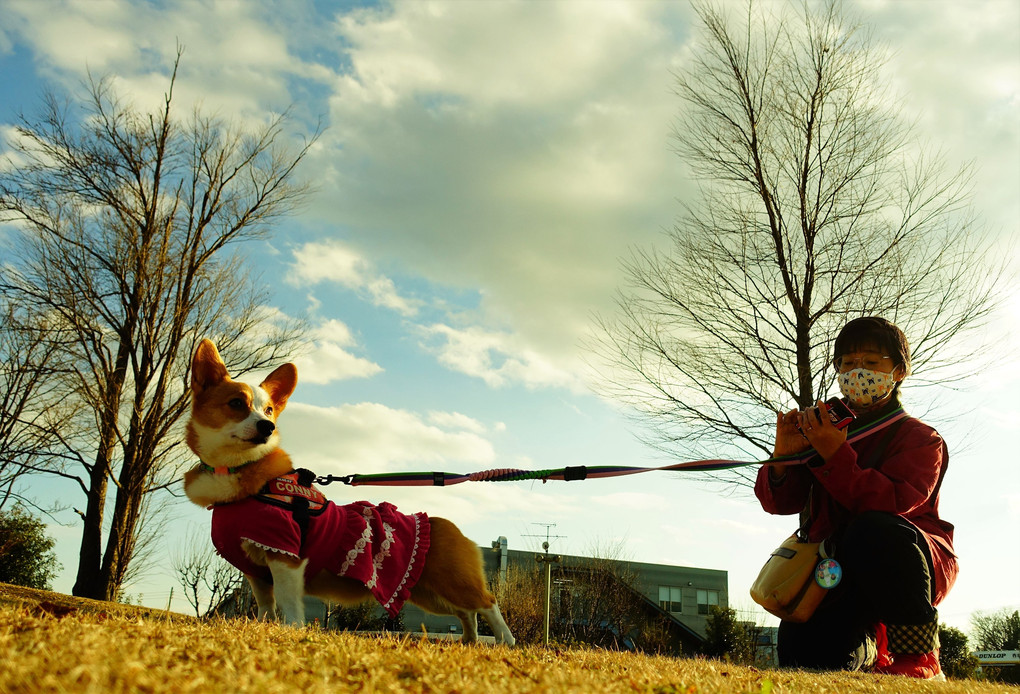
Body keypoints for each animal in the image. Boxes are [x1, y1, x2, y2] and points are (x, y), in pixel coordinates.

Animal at [182, 340, 514, 645]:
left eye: (269, 410)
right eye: (236, 403)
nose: (267, 427)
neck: (236, 469)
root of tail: (450, 526)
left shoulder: (284, 555)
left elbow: (289, 605)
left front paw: (290, 631)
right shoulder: (256, 574)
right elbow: (266, 606)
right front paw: (263, 629)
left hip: (454, 581)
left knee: (487, 603)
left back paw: (505, 641)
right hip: (428, 593)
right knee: (466, 612)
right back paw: (469, 641)